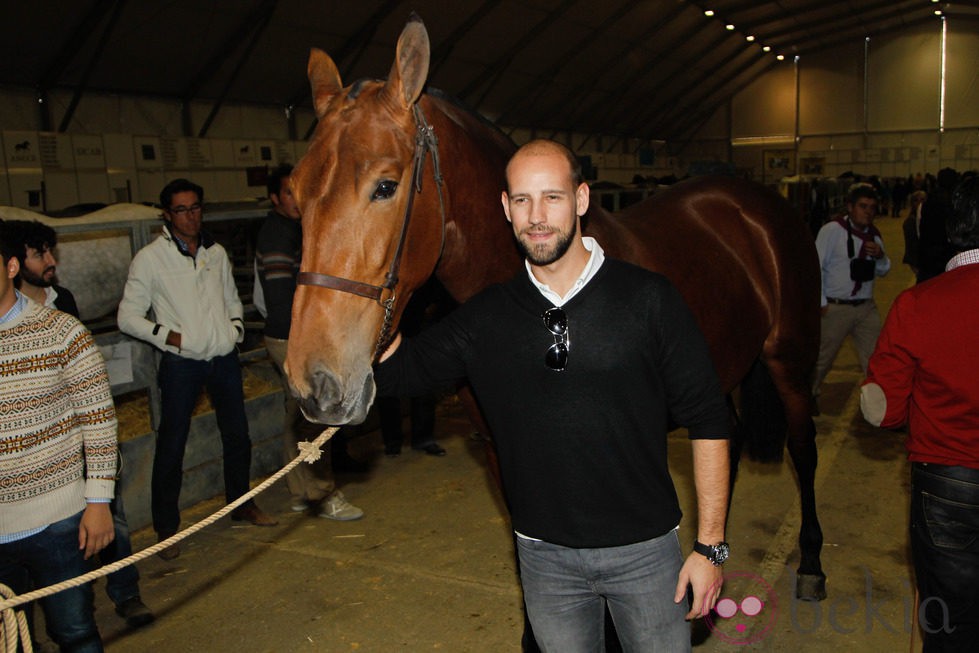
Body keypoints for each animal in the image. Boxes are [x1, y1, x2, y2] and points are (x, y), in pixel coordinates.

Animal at [284, 16, 828, 600]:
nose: (314, 384)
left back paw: (811, 564)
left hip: (789, 361)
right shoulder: (501, 453)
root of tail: (755, 202)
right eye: (295, 193)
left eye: (385, 186)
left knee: (803, 447)